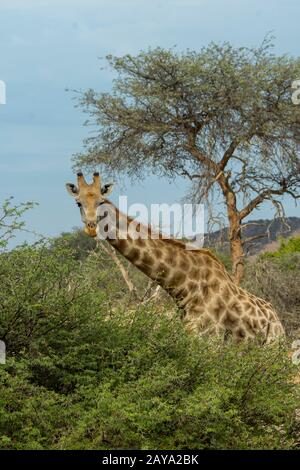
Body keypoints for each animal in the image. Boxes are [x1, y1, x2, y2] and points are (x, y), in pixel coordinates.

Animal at [65, 173, 284, 342]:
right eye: (78, 203)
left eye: (101, 201)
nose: (91, 227)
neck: (184, 287)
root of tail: (278, 321)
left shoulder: (209, 338)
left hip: (274, 347)